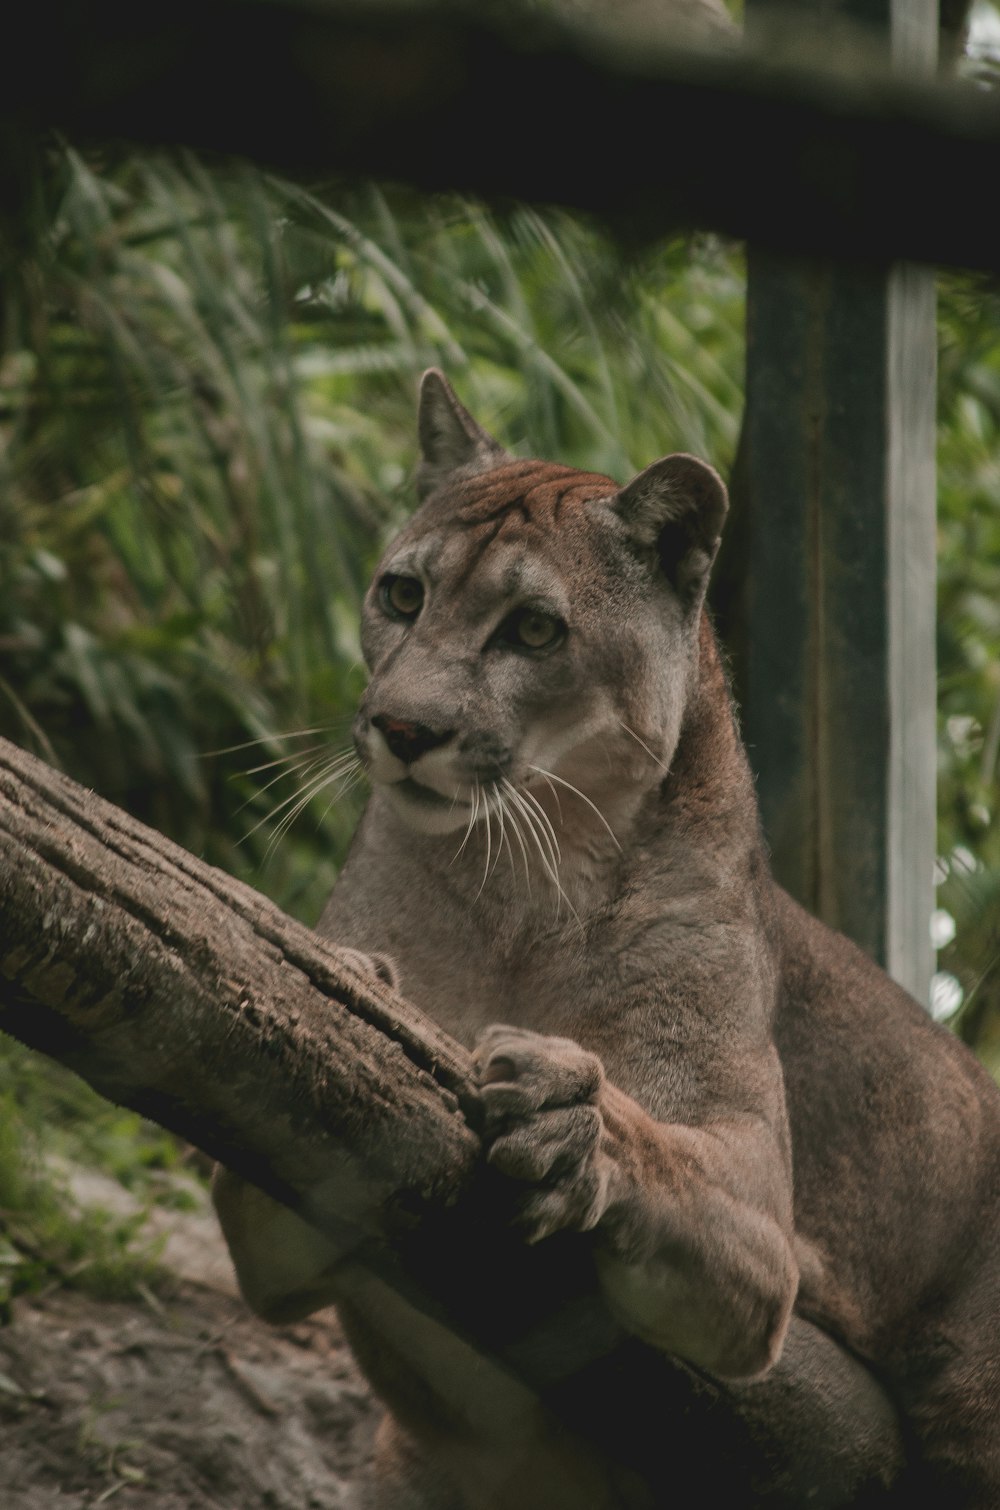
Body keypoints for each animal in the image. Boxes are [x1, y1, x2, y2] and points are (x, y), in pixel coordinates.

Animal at [216, 371, 1000, 1503]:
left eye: (536, 630)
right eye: (402, 595)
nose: (403, 730)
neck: (517, 882)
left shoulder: (757, 1229)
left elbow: (666, 1153)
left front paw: (569, 1114)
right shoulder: (277, 1253)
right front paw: (341, 983)